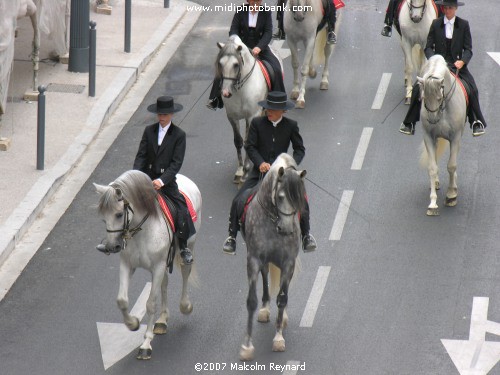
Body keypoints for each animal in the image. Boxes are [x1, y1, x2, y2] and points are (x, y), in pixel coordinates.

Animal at [94, 171, 202, 362]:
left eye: (119, 214)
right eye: (103, 217)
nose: (111, 247)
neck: (141, 230)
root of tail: (185, 178)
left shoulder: (157, 266)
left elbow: (150, 303)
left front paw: (145, 344)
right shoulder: (127, 265)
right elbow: (122, 300)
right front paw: (132, 323)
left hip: (189, 245)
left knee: (185, 272)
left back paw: (185, 306)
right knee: (165, 284)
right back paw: (162, 320)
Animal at [214, 35, 274, 184]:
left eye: (236, 64)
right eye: (220, 64)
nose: (225, 93)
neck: (241, 89)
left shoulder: (252, 116)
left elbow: (248, 141)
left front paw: (246, 168)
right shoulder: (232, 117)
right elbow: (238, 141)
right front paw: (240, 170)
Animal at [237, 153, 304, 362]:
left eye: (299, 199)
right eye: (281, 197)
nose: (287, 229)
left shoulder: (289, 262)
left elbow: (282, 298)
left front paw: (278, 338)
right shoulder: (253, 260)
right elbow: (251, 301)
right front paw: (247, 346)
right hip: (263, 260)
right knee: (265, 274)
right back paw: (265, 309)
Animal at [416, 54, 466, 216]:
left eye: (439, 97)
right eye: (423, 97)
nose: (432, 120)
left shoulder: (455, 137)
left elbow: (451, 165)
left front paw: (451, 196)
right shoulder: (428, 137)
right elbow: (432, 167)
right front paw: (432, 203)